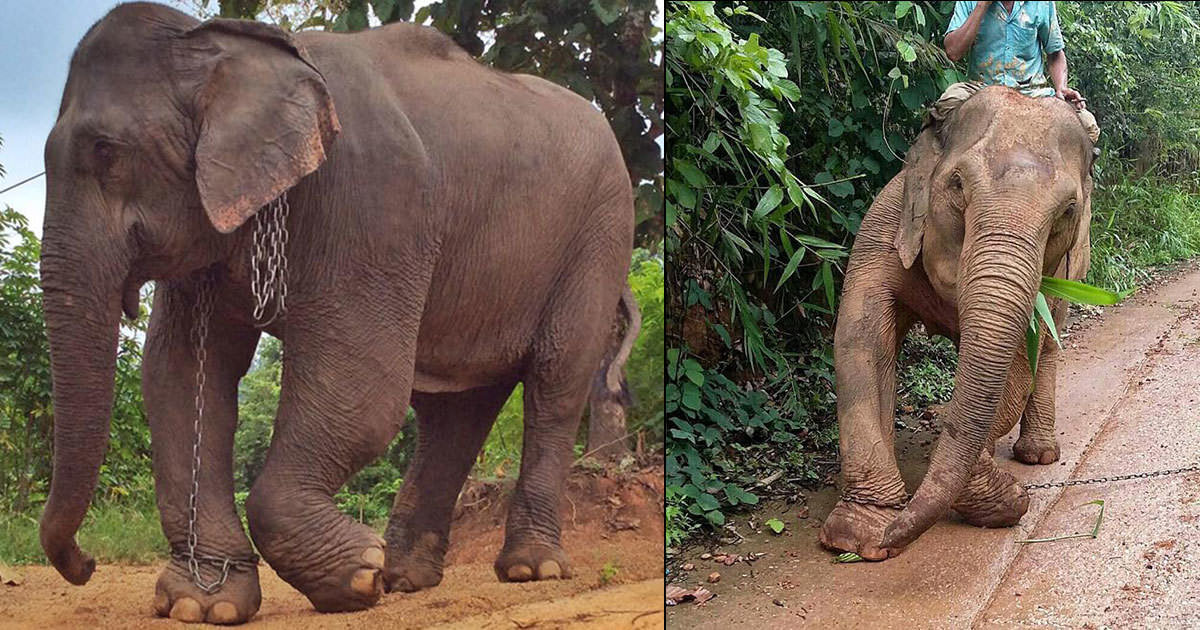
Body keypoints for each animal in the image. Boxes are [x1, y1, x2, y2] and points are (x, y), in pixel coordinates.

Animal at [38, 1, 638, 624]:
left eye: (106, 151)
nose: (86, 565)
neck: (228, 46)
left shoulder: (373, 200)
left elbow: (363, 387)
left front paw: (356, 578)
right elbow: (180, 375)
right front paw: (203, 605)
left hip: (600, 235)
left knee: (555, 382)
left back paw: (528, 570)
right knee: (455, 409)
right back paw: (406, 578)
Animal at [820, 84, 1094, 559]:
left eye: (1067, 211)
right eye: (957, 184)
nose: (891, 542)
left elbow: (1016, 361)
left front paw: (999, 496)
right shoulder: (885, 225)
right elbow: (860, 338)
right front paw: (859, 537)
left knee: (1050, 345)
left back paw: (1038, 455)